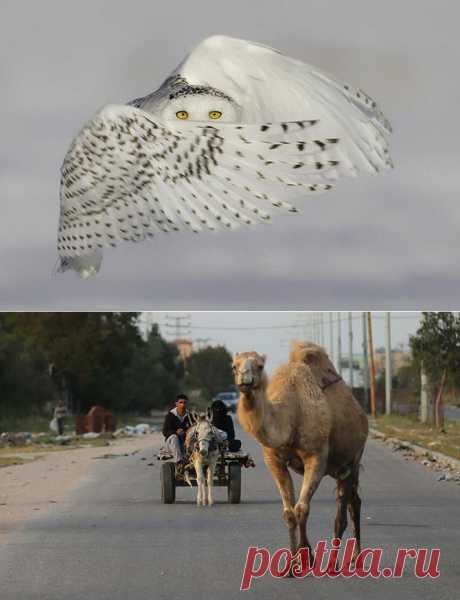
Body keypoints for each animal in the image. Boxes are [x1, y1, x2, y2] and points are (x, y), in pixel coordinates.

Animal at [232, 342, 368, 568]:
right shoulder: (273, 460)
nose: (245, 379)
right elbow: (289, 512)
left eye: (260, 366)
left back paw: (336, 563)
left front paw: (306, 557)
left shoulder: (316, 456)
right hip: (340, 467)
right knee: (353, 501)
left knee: (342, 511)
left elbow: (301, 508)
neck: (291, 416)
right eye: (234, 366)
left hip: (353, 459)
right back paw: (355, 557)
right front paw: (291, 565)